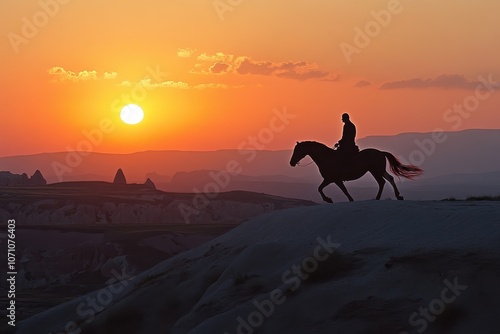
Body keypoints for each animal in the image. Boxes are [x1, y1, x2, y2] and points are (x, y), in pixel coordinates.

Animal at [290, 140, 422, 202]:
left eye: (297, 150)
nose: (291, 162)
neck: (326, 157)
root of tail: (380, 152)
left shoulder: (332, 179)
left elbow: (326, 189)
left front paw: (329, 199)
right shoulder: (332, 179)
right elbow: (323, 188)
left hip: (375, 171)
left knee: (382, 182)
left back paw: (378, 198)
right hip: (379, 170)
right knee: (390, 179)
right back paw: (398, 196)